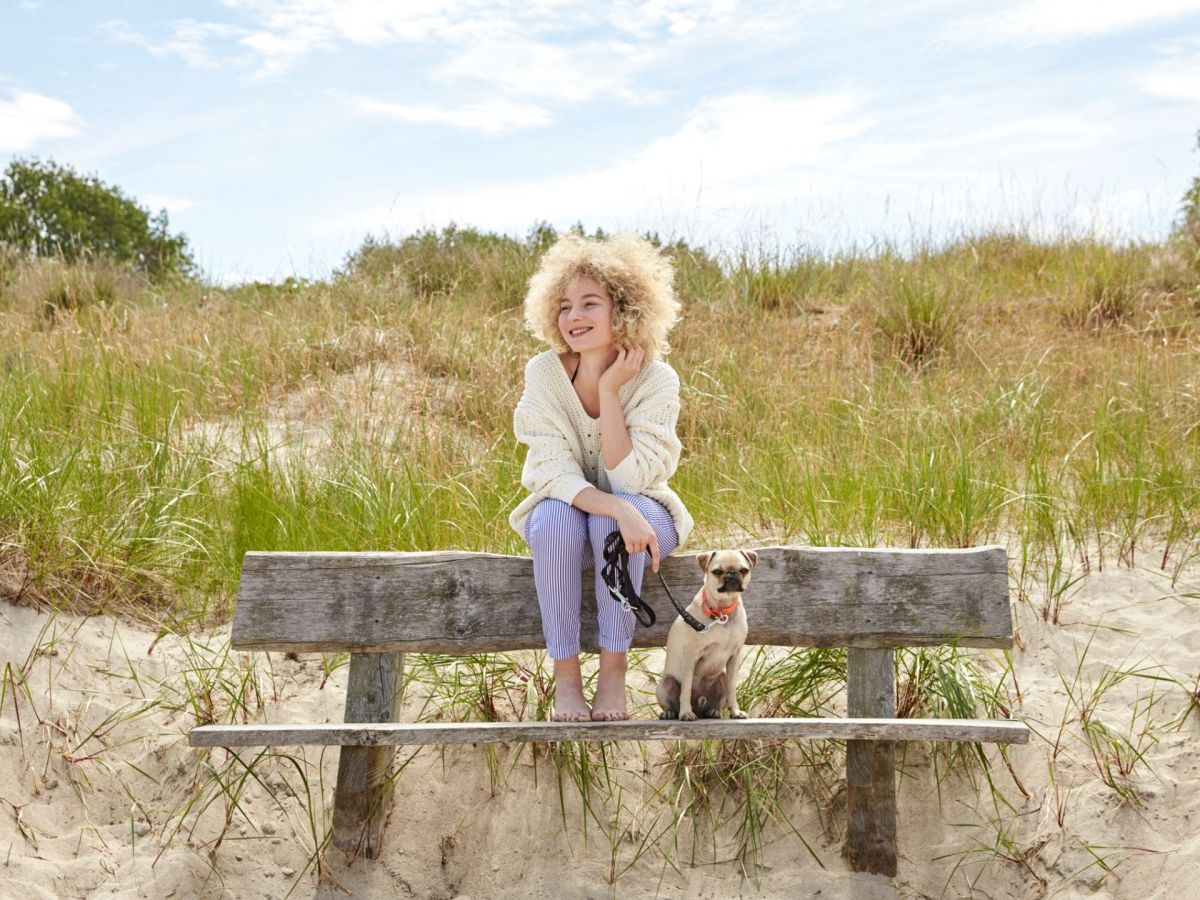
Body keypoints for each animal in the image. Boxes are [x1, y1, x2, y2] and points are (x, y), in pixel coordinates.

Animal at [662, 547, 753, 724]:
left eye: (744, 570)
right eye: (717, 571)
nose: (732, 574)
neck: (722, 612)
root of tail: (699, 707)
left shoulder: (735, 656)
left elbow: (732, 689)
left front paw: (735, 712)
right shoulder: (691, 656)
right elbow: (686, 689)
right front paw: (685, 713)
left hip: (721, 678)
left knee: (717, 700)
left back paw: (713, 712)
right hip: (666, 683)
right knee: (672, 703)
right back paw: (670, 713)